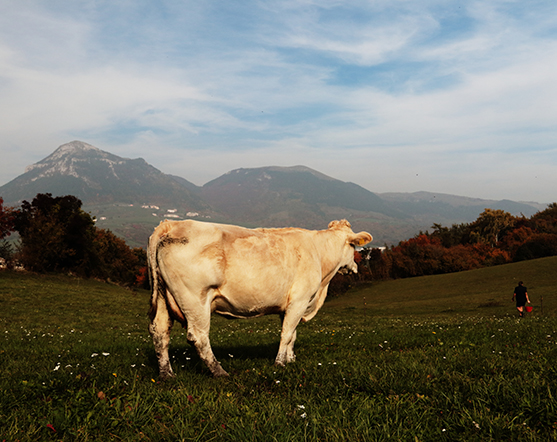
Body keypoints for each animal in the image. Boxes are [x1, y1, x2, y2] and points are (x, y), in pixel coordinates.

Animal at [150, 218, 372, 376]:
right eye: (354, 247)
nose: (355, 266)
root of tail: (173, 224)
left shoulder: (291, 305)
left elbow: (293, 334)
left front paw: (290, 359)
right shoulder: (300, 300)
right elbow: (287, 333)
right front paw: (280, 363)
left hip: (162, 299)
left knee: (160, 332)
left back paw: (167, 374)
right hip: (195, 299)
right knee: (198, 336)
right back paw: (220, 372)